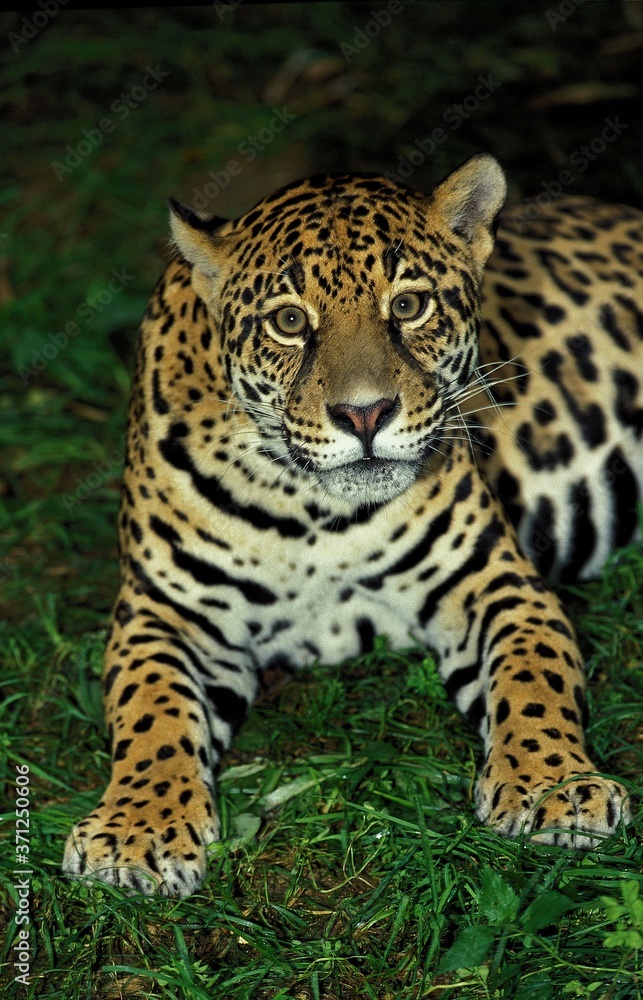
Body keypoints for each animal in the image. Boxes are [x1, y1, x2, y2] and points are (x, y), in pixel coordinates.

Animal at [63, 154, 642, 897]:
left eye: (408, 305)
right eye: (287, 321)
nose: (364, 415)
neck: (309, 510)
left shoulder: (496, 580)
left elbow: (533, 677)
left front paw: (554, 786)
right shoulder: (164, 611)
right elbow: (150, 710)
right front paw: (138, 829)